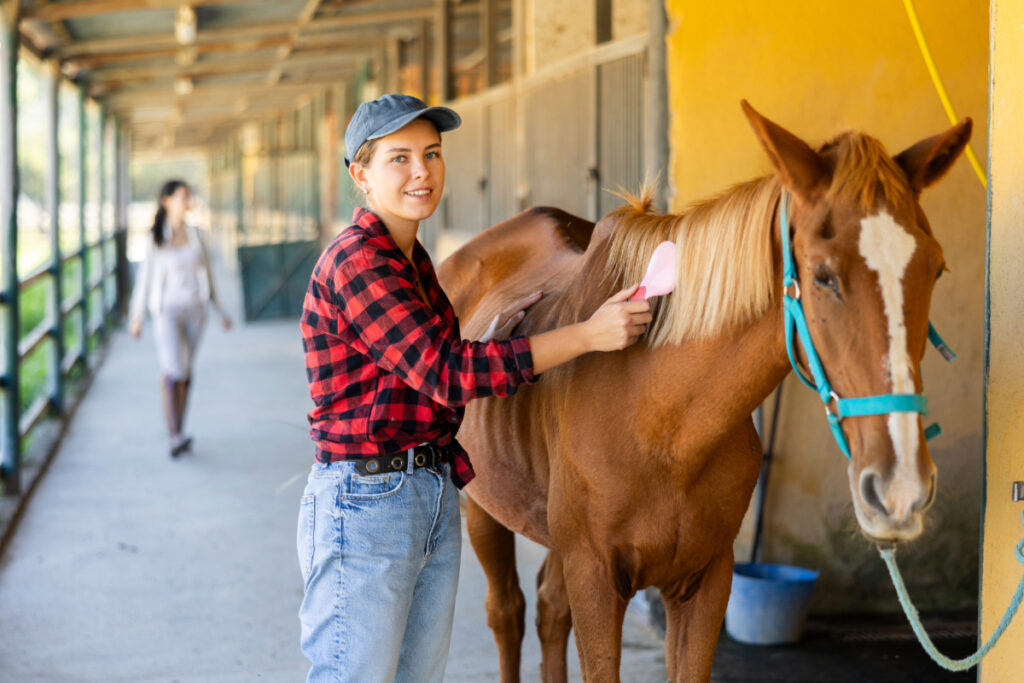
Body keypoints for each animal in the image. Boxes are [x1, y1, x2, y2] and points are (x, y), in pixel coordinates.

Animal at [435, 101, 972, 682]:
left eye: (936, 269)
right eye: (823, 276)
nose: (900, 489)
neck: (663, 421)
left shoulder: (705, 580)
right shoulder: (595, 578)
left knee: (550, 610)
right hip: (485, 510)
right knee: (506, 612)